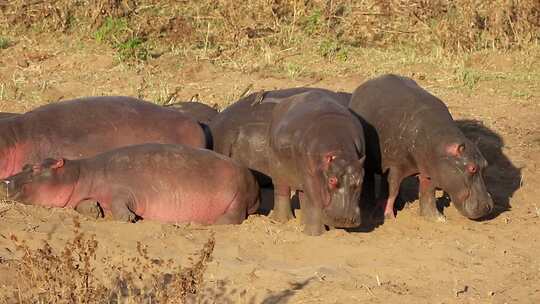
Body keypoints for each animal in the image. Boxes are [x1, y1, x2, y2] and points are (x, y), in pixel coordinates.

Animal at [0, 144, 262, 224]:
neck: (79, 174)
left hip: (237, 195)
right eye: (25, 165)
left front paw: (128, 218)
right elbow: (81, 204)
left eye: (35, 169)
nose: (5, 181)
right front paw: (94, 211)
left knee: (234, 217)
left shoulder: (124, 189)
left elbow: (120, 202)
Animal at [209, 88, 364, 235]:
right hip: (279, 171)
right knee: (283, 190)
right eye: (332, 180)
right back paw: (282, 220)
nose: (346, 219)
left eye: (361, 181)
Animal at [350, 73, 494, 221]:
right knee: (370, 180)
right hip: (371, 162)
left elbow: (427, 193)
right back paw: (369, 206)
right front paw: (389, 216)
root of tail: (364, 85)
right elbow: (392, 191)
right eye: (472, 168)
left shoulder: (429, 171)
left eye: (485, 165)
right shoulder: (395, 166)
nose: (488, 207)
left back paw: (401, 204)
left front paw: (437, 218)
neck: (441, 144)